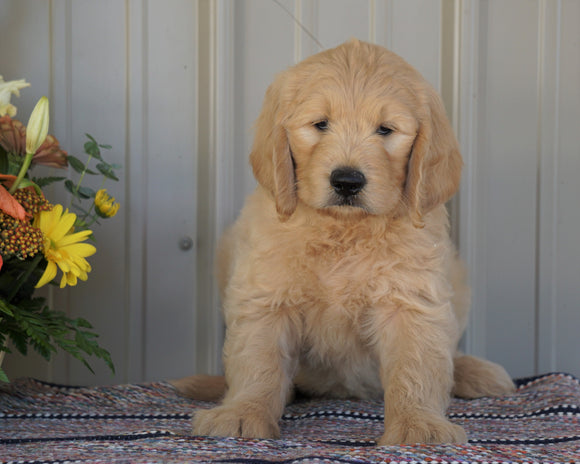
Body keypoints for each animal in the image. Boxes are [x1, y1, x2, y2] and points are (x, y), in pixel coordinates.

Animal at [174, 38, 516, 444]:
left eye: (385, 130)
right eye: (321, 124)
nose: (347, 181)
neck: (344, 230)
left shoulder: (410, 297)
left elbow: (416, 365)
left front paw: (418, 425)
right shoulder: (266, 294)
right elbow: (259, 361)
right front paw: (242, 412)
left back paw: (475, 372)